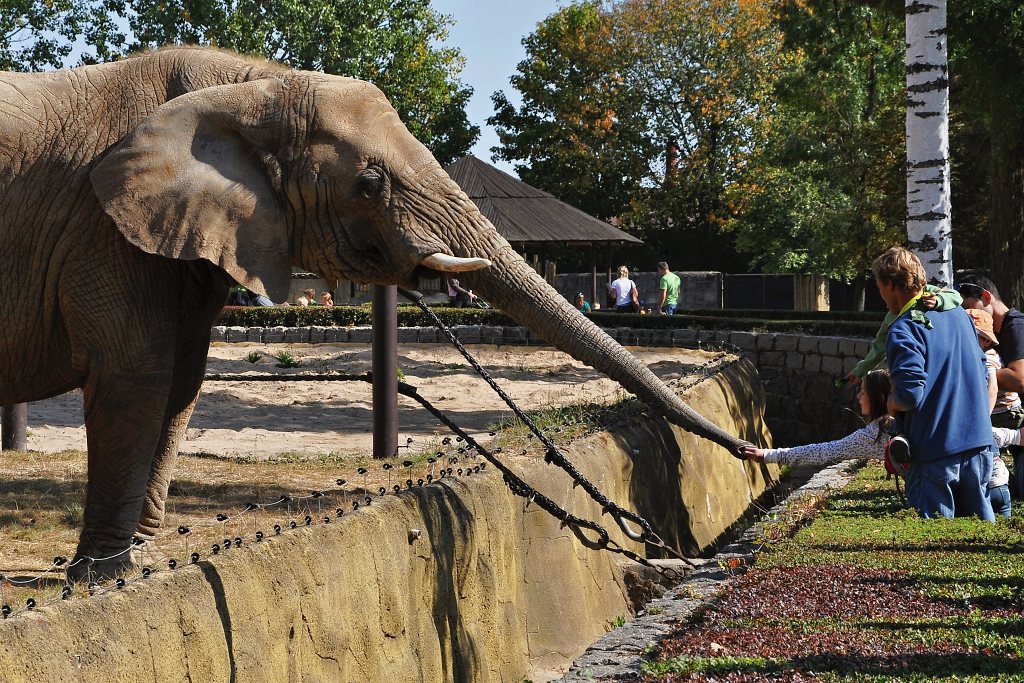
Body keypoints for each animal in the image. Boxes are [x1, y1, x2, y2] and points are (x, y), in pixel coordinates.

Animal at [0, 46, 748, 580]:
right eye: (368, 184)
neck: (250, 84)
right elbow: (136, 374)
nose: (750, 449)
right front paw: (101, 576)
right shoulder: (99, 229)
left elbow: (182, 379)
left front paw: (143, 560)